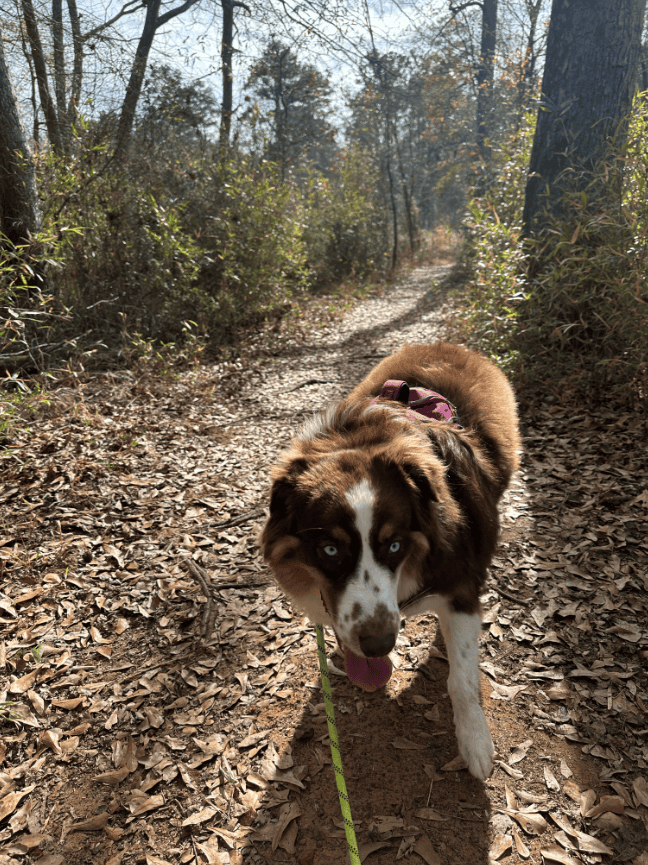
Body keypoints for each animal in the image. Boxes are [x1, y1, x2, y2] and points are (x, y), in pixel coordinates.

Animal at [260, 340, 520, 780]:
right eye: (330, 550)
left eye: (395, 546)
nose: (379, 644)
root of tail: (446, 343)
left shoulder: (461, 587)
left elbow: (462, 679)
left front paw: (474, 742)